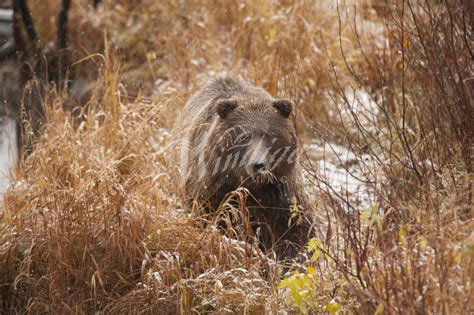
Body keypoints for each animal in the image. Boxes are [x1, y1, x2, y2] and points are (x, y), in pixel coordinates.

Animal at [181, 76, 312, 260]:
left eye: (269, 135)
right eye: (244, 136)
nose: (258, 164)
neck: (253, 187)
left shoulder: (282, 193)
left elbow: (293, 230)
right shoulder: (214, 190)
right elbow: (208, 218)